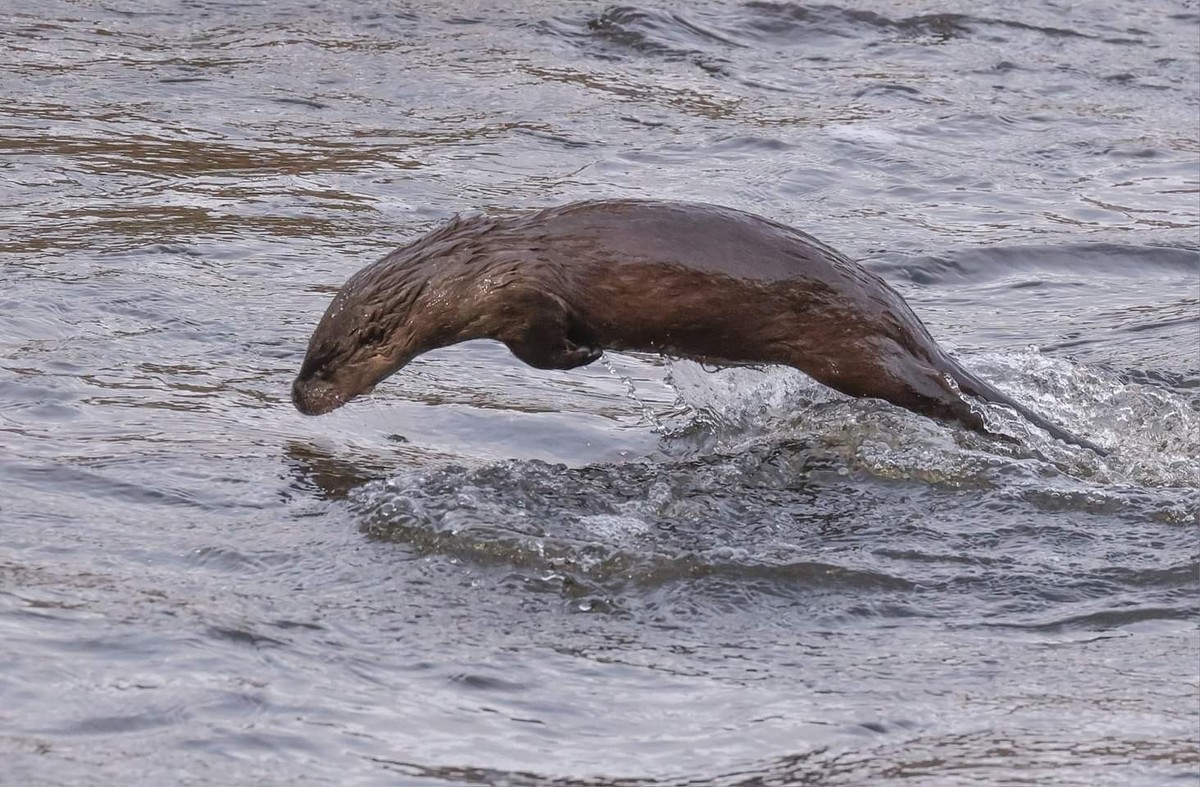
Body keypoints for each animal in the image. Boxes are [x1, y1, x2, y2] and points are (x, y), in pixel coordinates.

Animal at [292, 199, 1105, 455]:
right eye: (305, 355)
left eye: (326, 360)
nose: (298, 397)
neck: (478, 267)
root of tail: (905, 316)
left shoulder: (526, 301)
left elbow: (549, 348)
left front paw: (589, 353)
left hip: (856, 353)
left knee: (933, 390)